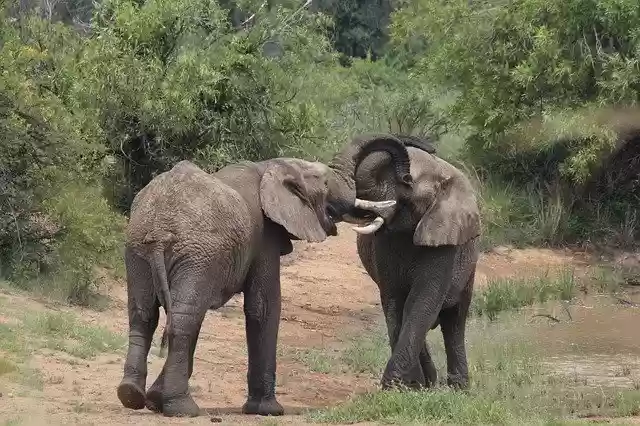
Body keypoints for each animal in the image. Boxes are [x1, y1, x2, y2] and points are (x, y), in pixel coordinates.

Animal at [116, 145, 402, 418]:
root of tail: (160, 229)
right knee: (184, 319)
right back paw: (181, 409)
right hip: (194, 253)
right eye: (325, 184)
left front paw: (154, 399)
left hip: (139, 250)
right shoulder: (265, 235)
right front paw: (268, 410)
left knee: (146, 315)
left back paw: (131, 396)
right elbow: (264, 307)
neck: (273, 166)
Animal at [337, 133, 481, 390]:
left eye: (408, 180)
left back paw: (458, 388)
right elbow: (396, 301)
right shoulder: (384, 244)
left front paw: (393, 385)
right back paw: (430, 382)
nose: (427, 144)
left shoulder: (443, 238)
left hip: (468, 267)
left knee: (455, 319)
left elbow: (421, 301)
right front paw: (407, 387)